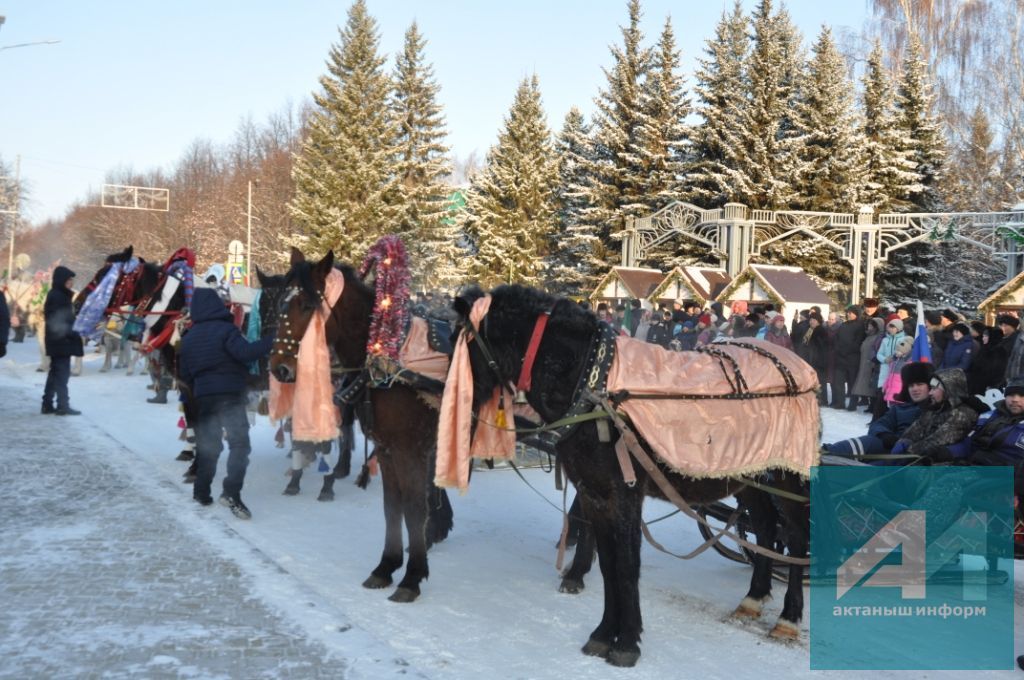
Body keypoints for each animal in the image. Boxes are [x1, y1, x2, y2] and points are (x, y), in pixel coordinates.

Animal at [268, 246, 452, 602]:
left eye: (307, 305)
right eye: (280, 301)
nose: (278, 368)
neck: (386, 356)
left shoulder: (409, 451)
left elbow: (413, 507)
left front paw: (412, 576)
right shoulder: (388, 448)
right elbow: (392, 506)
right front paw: (386, 566)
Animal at [452, 284, 811, 667]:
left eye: (463, 341)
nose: (453, 402)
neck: (591, 383)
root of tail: (800, 365)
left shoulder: (624, 494)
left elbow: (626, 564)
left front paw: (626, 641)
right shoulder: (595, 493)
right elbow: (609, 564)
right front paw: (602, 633)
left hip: (787, 476)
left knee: (795, 537)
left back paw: (789, 617)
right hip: (747, 476)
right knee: (765, 527)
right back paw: (753, 598)